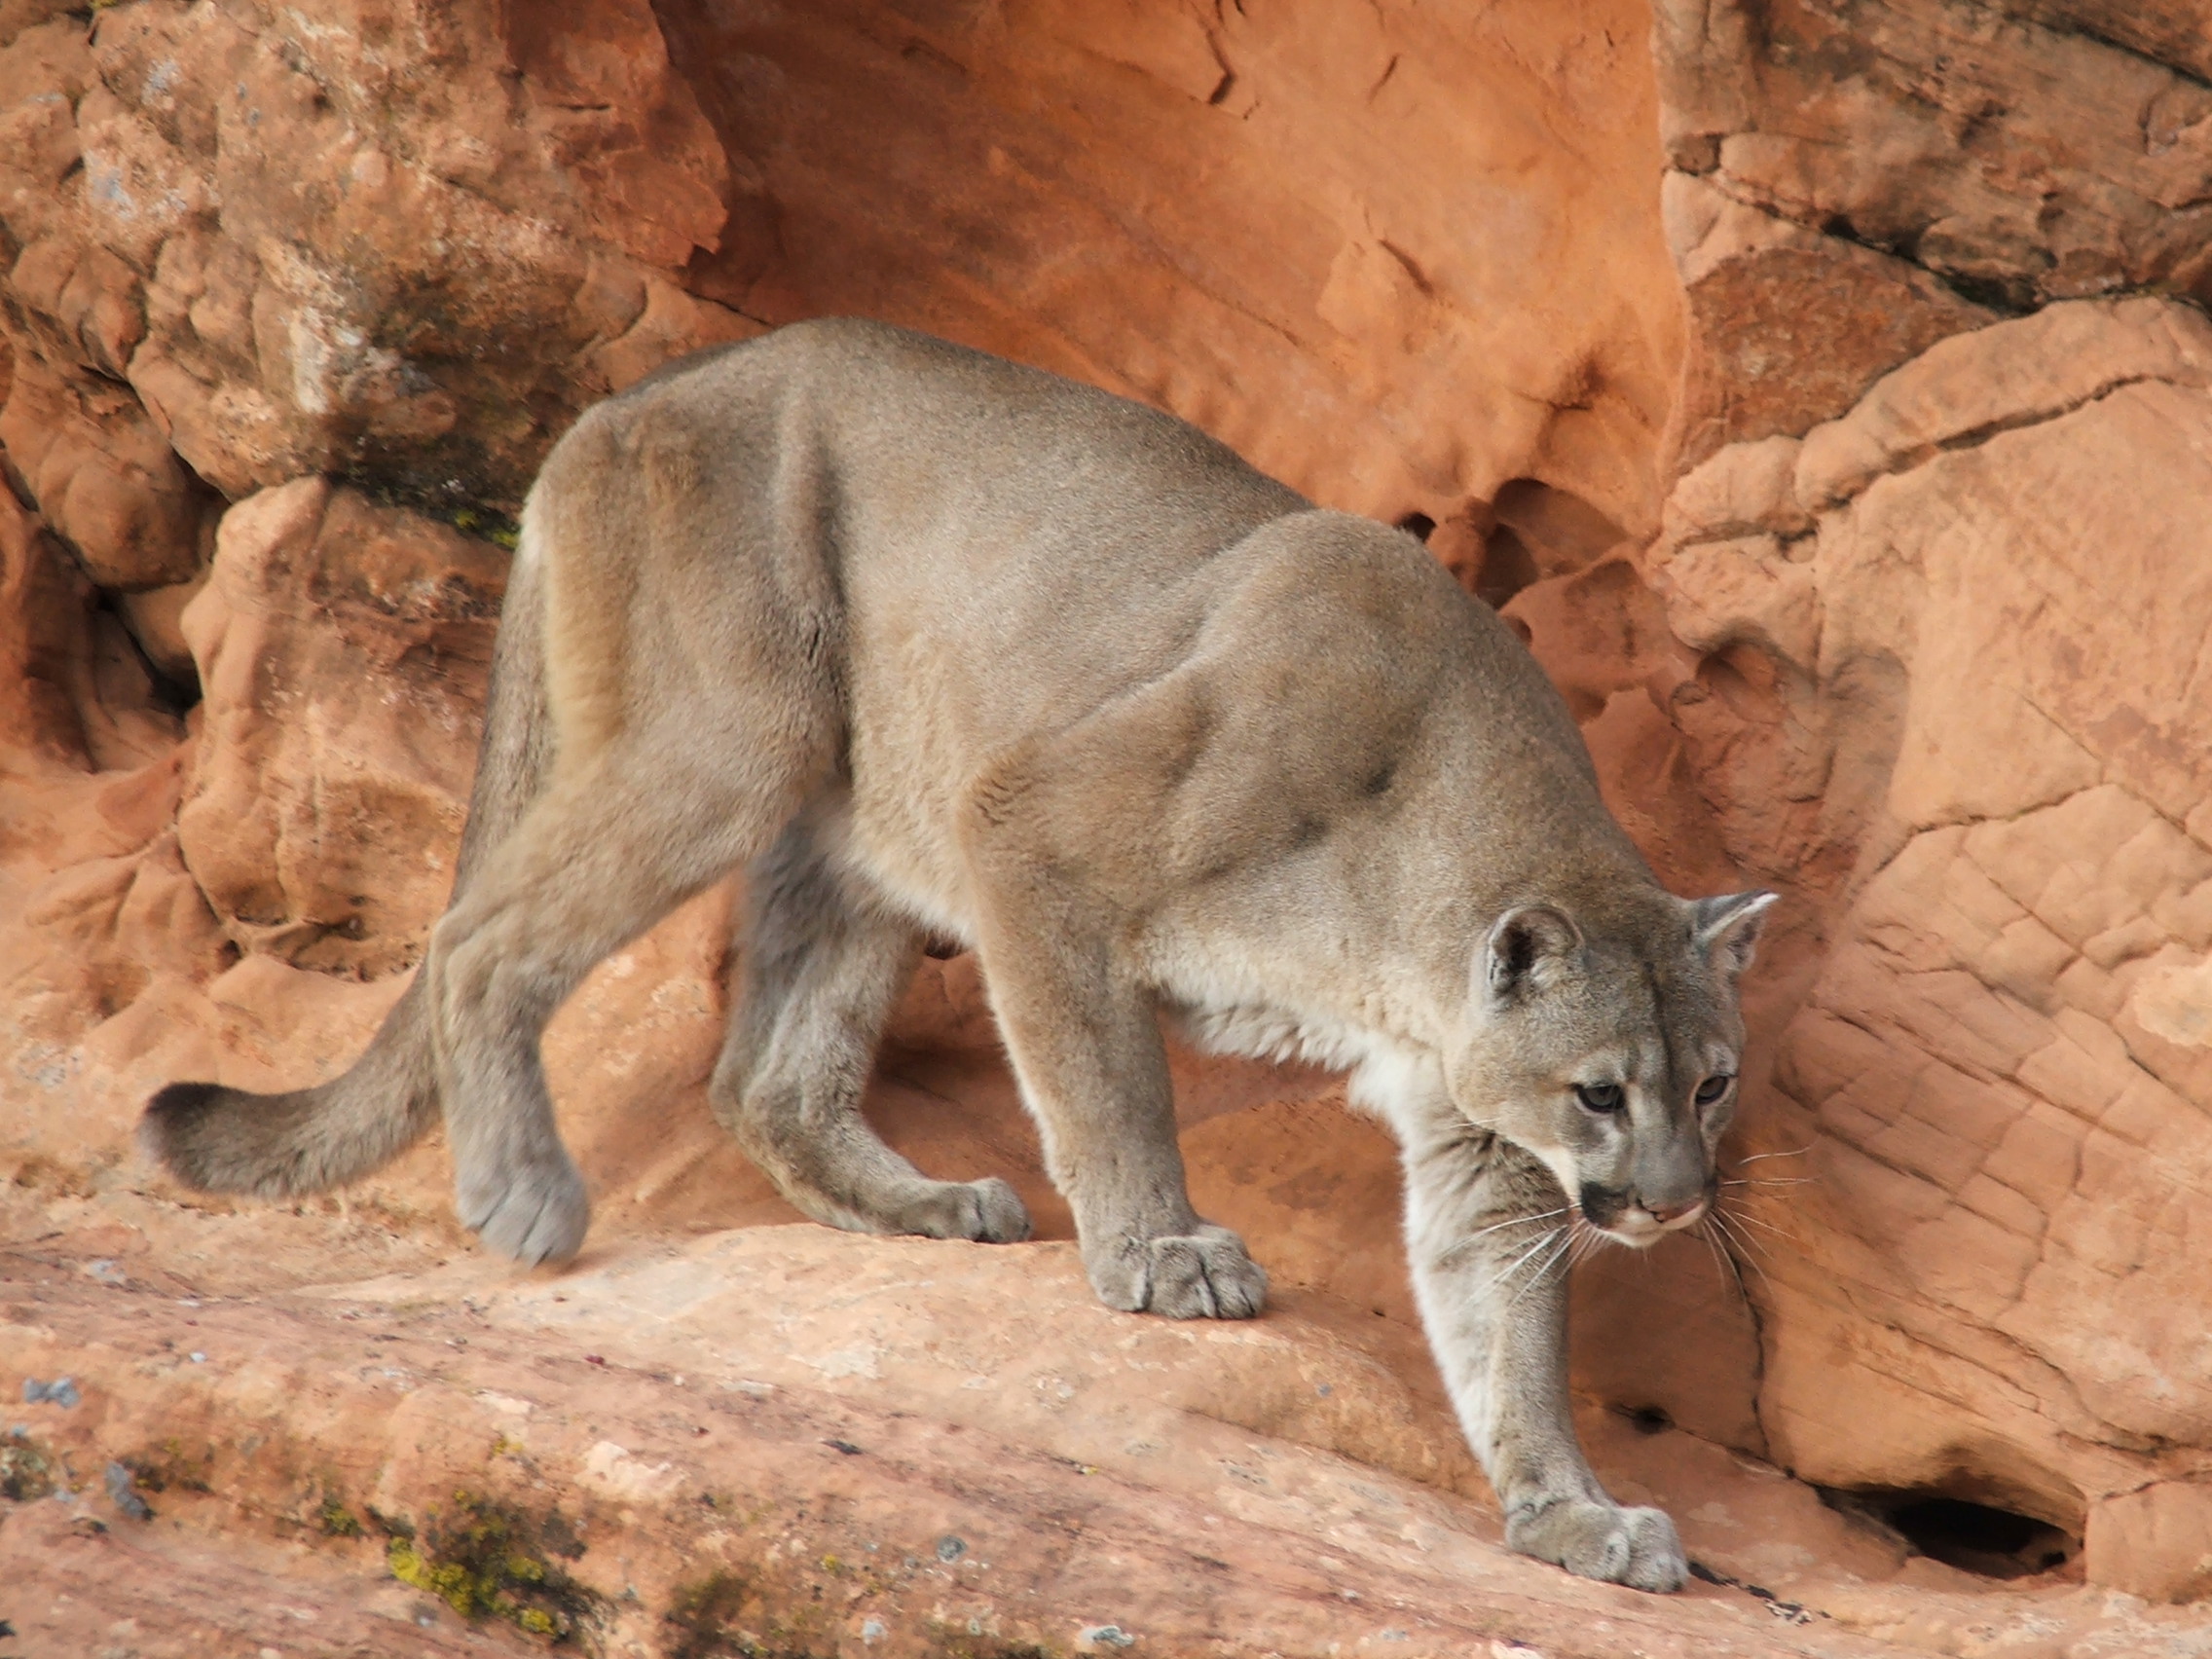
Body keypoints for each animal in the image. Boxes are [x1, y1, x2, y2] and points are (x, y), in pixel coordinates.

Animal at [142, 313, 1778, 1601]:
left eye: (1710, 1086)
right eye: (1600, 1093)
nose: (1675, 1205)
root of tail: (631, 395)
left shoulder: (1471, 1133)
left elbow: (1509, 1333)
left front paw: (1570, 1513)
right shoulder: (1034, 829)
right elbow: (1108, 1083)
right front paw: (1163, 1253)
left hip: (866, 818)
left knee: (763, 1074)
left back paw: (918, 1206)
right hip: (744, 733)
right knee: (476, 938)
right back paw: (525, 1191)